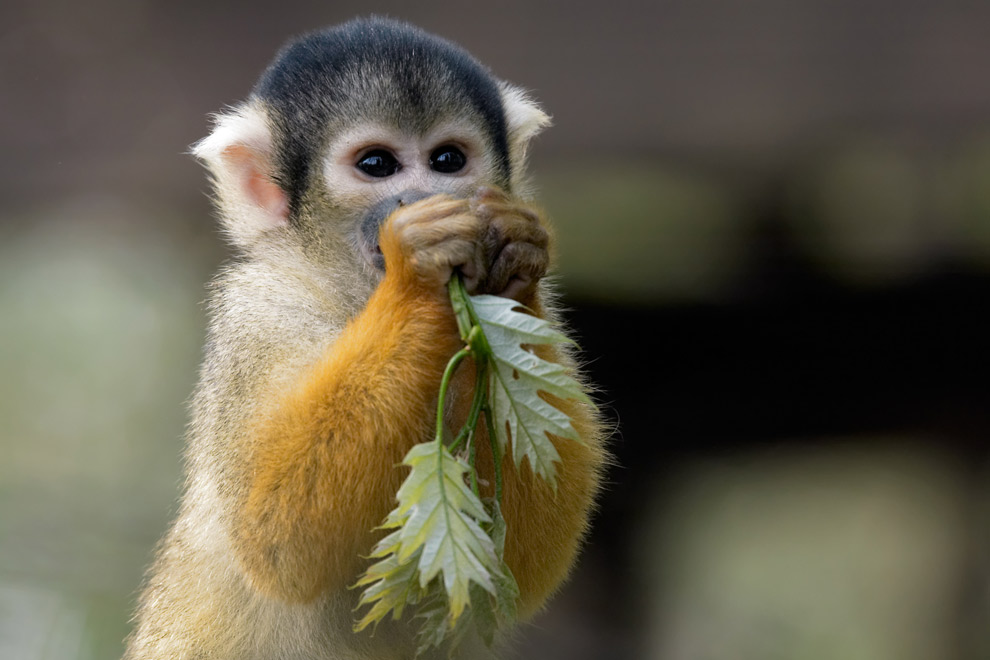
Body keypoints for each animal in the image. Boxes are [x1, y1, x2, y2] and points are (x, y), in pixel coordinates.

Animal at [124, 17, 606, 660]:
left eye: (448, 159)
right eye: (377, 165)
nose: (424, 195)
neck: (356, 297)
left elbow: (514, 569)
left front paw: (516, 256)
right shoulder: (258, 310)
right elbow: (277, 533)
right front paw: (416, 271)